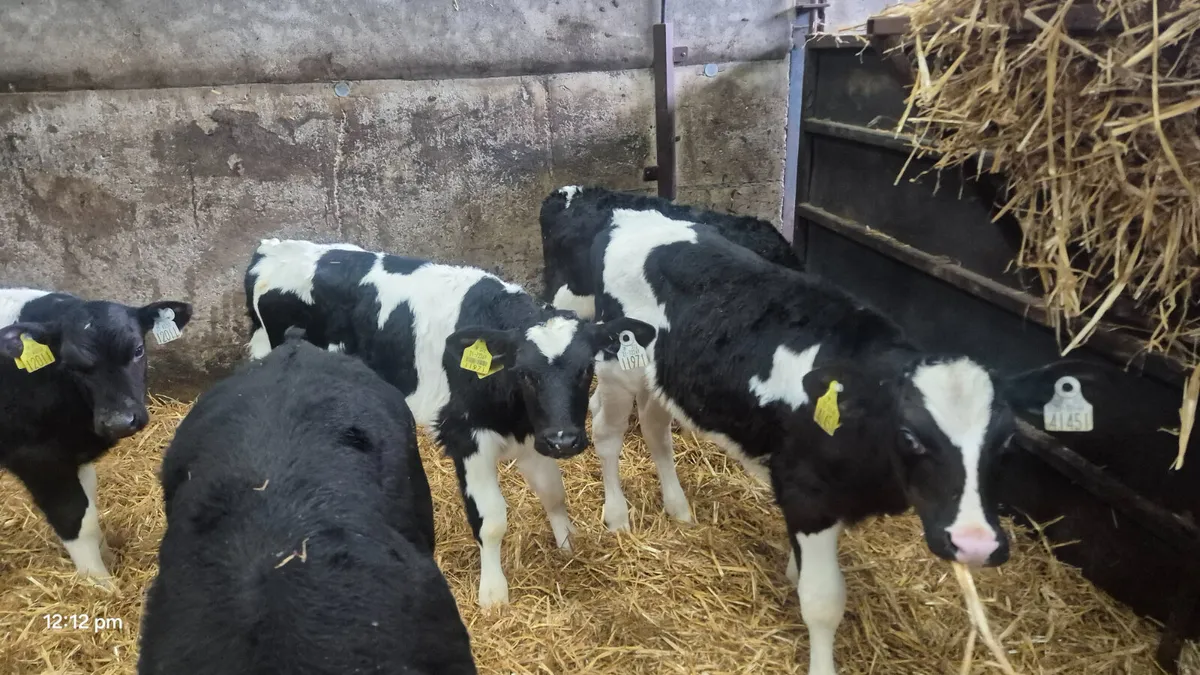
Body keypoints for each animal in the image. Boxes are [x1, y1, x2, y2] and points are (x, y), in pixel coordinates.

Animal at [0, 287, 191, 585]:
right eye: (71, 365)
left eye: (138, 350)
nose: (119, 421)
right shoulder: (36, 459)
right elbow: (74, 518)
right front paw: (98, 582)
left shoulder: (75, 455)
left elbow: (90, 509)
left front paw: (107, 557)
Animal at [243, 239, 654, 607]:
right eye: (525, 374)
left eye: (586, 369)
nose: (564, 441)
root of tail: (271, 249)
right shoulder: (465, 435)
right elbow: (491, 519)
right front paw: (493, 593)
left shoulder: (531, 434)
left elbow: (553, 492)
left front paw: (568, 542)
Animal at [586, 209, 1086, 675]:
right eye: (910, 436)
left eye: (1005, 442)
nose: (975, 543)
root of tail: (633, 216)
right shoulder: (810, 496)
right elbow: (824, 601)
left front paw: (791, 571)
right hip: (615, 365)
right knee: (607, 435)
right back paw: (617, 515)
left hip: (661, 378)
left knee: (655, 428)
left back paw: (678, 508)